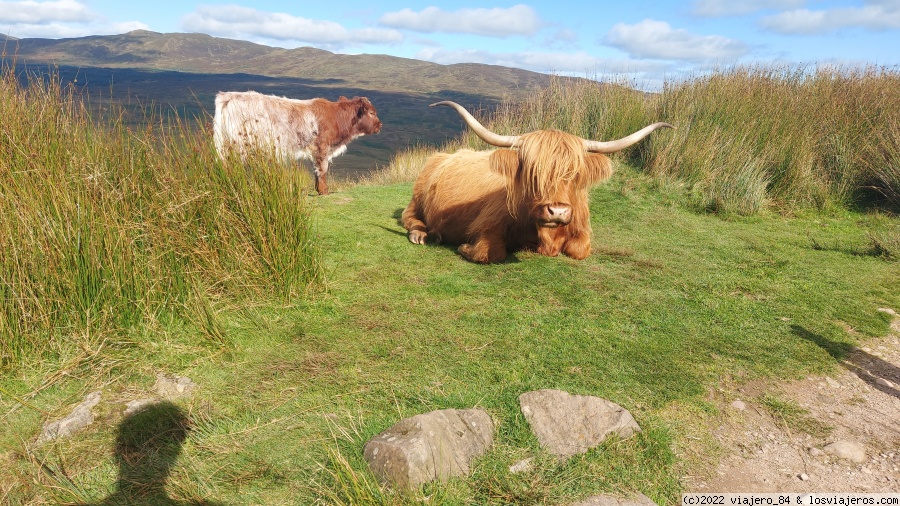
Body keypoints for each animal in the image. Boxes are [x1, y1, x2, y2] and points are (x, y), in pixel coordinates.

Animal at [215, 90, 384, 195]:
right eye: (371, 112)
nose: (380, 125)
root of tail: (228, 96)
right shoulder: (322, 148)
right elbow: (323, 170)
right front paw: (324, 191)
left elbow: (316, 171)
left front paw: (318, 190)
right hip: (236, 146)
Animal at [404, 100, 672, 262]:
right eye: (533, 172)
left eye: (574, 173)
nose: (557, 211)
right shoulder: (487, 224)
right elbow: (489, 251)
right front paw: (464, 248)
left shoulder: (582, 229)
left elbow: (580, 250)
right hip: (416, 197)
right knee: (410, 217)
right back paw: (422, 235)